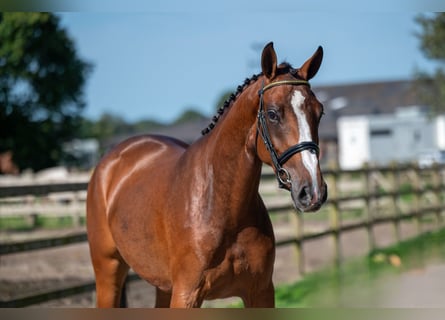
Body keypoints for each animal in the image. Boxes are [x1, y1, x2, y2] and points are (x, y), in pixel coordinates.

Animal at [86, 42, 328, 308]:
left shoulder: (261, 292)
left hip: (163, 286)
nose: (312, 191)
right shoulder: (186, 295)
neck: (221, 207)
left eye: (319, 112)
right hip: (108, 272)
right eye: (273, 114)